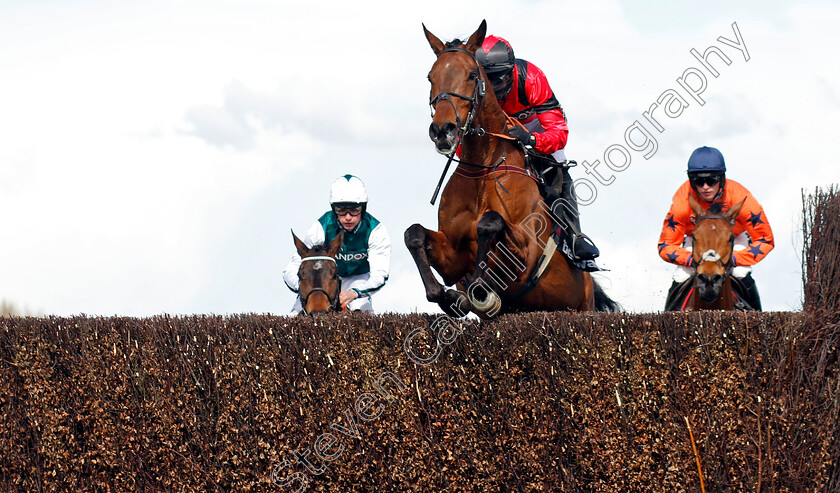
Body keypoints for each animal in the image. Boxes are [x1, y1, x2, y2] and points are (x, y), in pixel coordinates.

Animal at [404, 19, 612, 318]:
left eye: (471, 75)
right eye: (431, 77)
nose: (443, 130)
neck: (482, 169)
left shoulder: (526, 253)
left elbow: (490, 222)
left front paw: (480, 289)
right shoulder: (454, 257)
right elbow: (414, 233)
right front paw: (448, 296)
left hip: (583, 306)